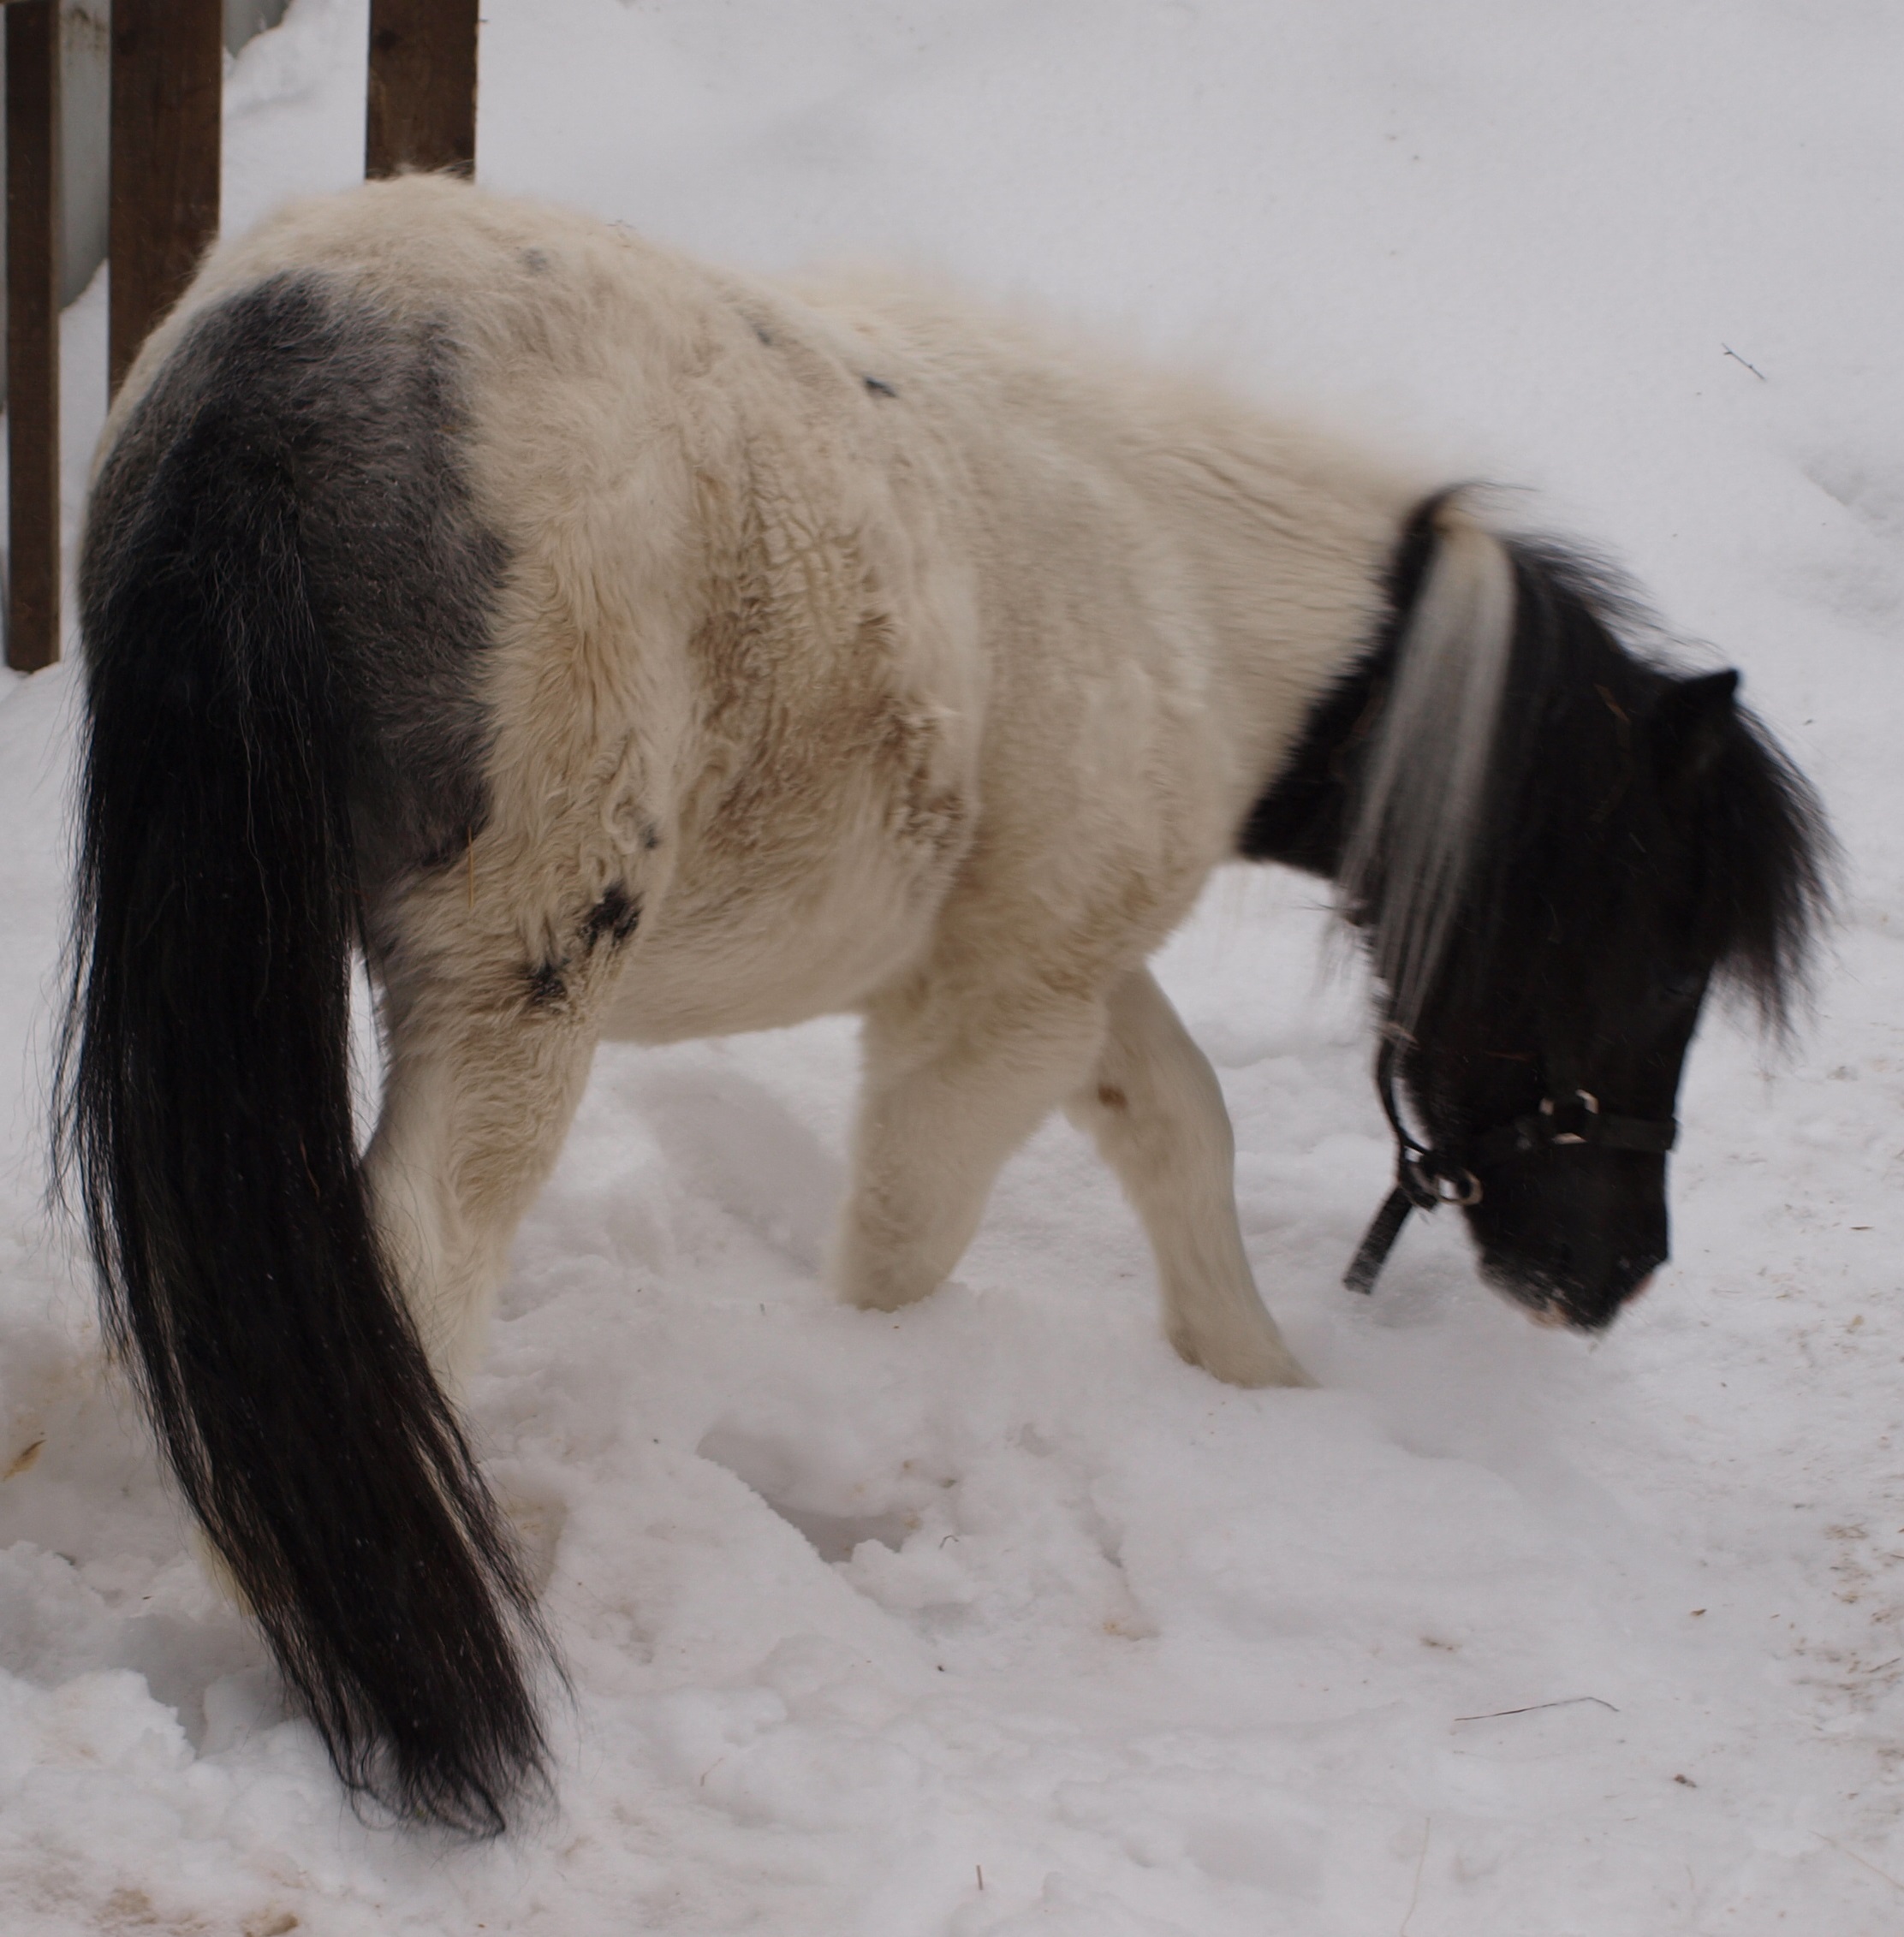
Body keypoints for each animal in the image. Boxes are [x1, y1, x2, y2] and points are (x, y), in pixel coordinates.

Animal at [59, 178, 1828, 1828]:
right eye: (1660, 953)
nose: (1608, 1274)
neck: (1178, 589)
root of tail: (295, 372)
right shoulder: (993, 1010)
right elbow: (908, 1242)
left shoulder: (1056, 968)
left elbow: (1178, 1131)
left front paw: (1256, 1381)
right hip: (514, 984)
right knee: (417, 1254)